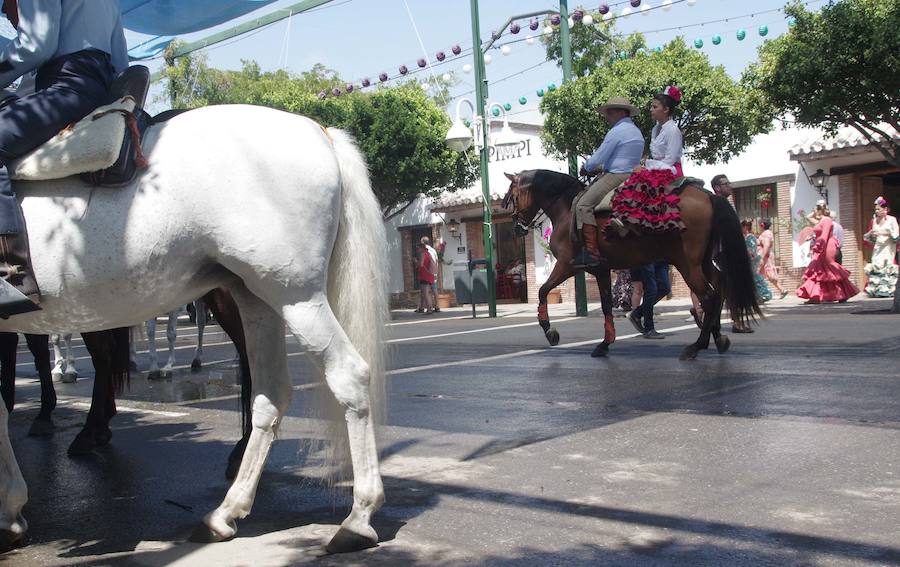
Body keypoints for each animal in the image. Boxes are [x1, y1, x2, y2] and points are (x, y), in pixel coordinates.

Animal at [0, 106, 386, 556]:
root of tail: (319, 130)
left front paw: (11, 511)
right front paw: (11, 513)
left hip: (295, 297)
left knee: (349, 376)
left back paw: (358, 518)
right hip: (256, 298)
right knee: (270, 395)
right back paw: (225, 513)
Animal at [502, 169, 764, 360]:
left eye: (513, 196)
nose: (516, 227)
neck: (567, 208)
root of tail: (709, 196)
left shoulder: (566, 265)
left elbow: (543, 291)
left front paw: (551, 332)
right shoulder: (601, 269)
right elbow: (606, 305)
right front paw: (604, 344)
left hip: (688, 264)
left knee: (709, 297)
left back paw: (696, 346)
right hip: (704, 262)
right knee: (718, 291)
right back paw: (718, 338)